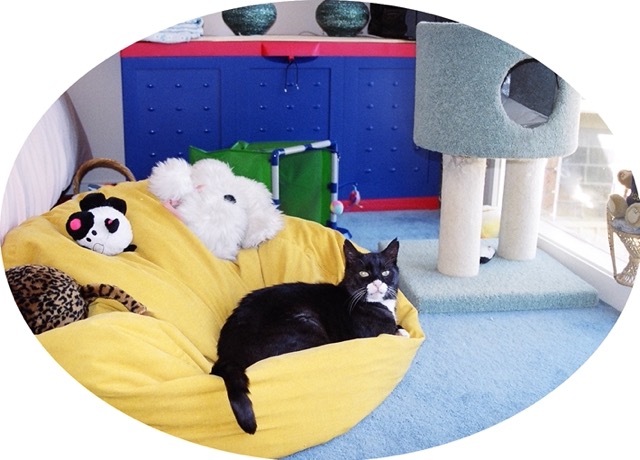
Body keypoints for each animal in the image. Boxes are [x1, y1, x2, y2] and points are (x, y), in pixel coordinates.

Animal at [212, 239, 408, 434]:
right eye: (363, 273)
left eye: (386, 272)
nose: (377, 283)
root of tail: (227, 355)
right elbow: (394, 331)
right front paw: (402, 332)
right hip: (306, 323)